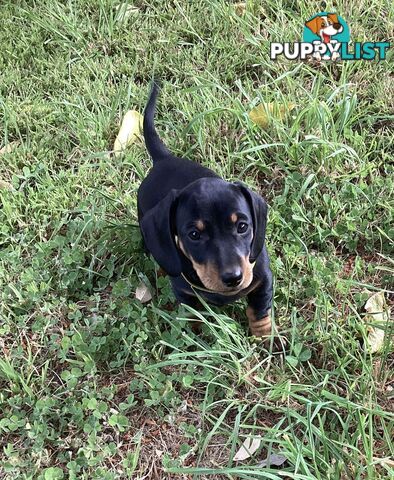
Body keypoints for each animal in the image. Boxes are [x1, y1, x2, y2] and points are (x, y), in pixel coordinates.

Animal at [137, 81, 272, 338]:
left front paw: (265, 339)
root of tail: (163, 159)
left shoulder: (262, 279)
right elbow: (193, 317)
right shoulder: (185, 294)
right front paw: (197, 337)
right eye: (194, 235)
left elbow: (260, 312)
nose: (233, 278)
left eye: (242, 226)